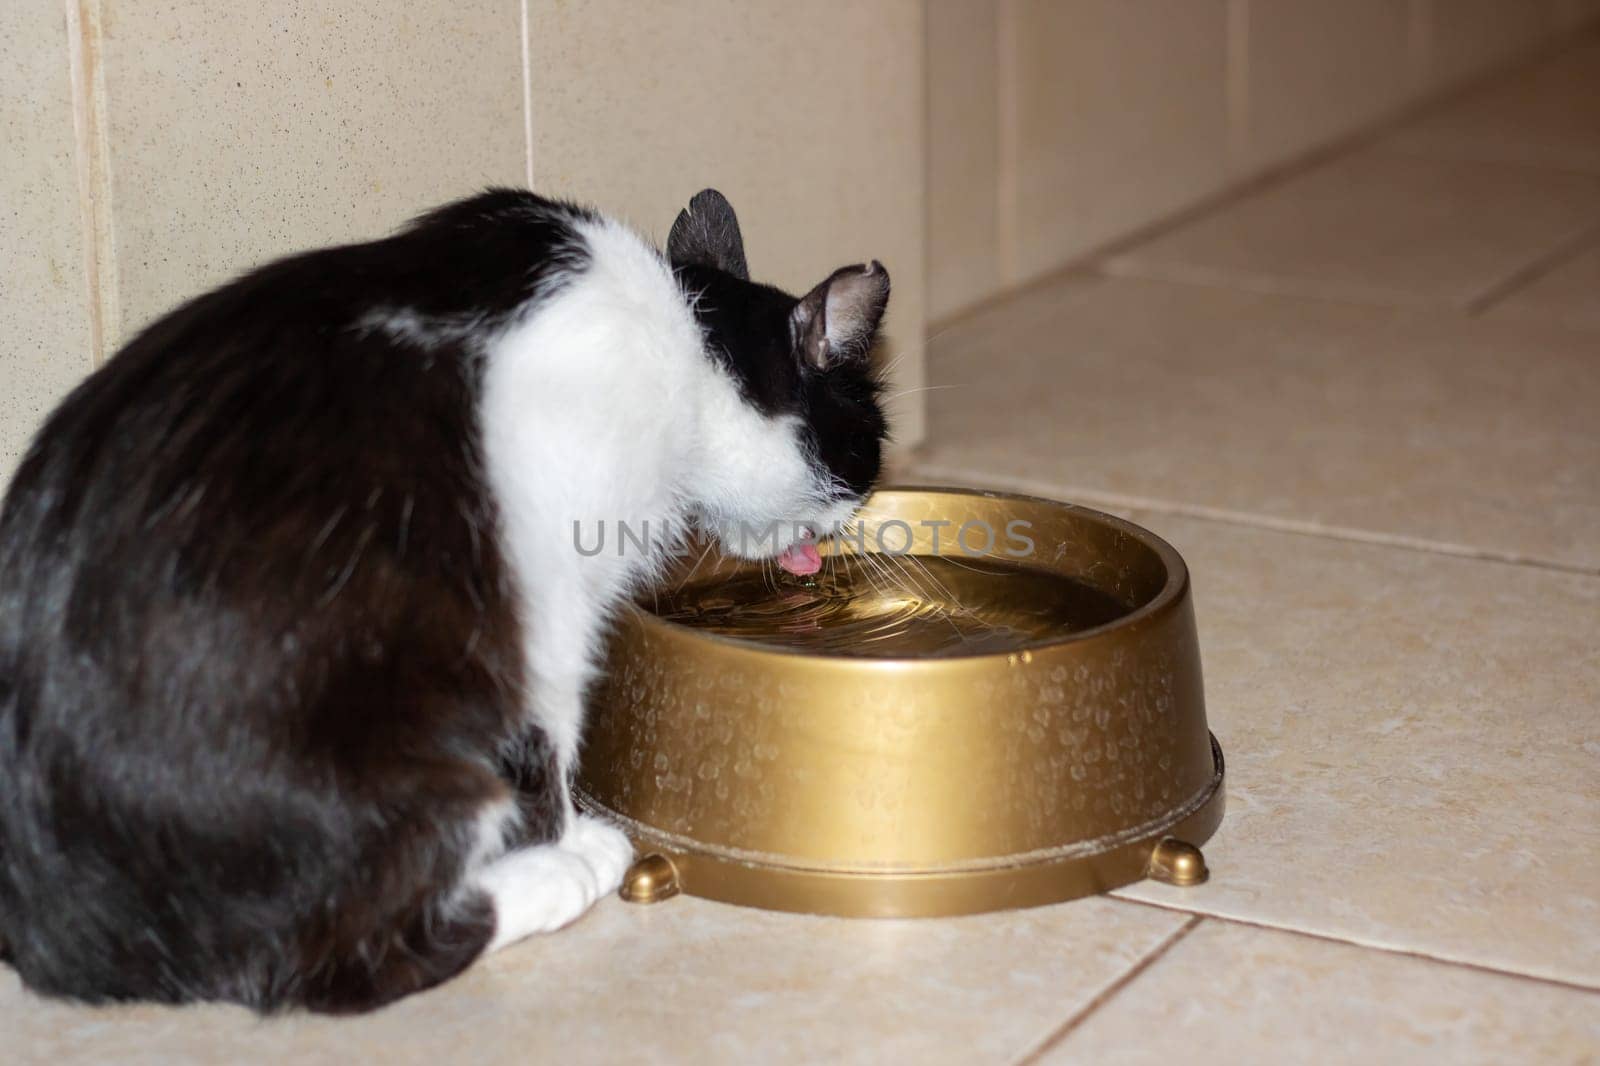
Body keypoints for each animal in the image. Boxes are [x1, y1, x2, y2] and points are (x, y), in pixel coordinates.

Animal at [0, 186, 889, 1011]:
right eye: (861, 457)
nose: (839, 538)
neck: (685, 335)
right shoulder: (551, 581)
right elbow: (552, 730)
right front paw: (563, 836)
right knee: (345, 963)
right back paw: (556, 875)